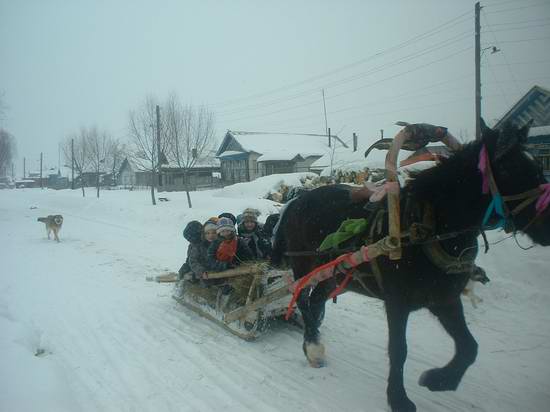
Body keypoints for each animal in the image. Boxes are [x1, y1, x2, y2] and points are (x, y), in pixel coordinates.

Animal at [272, 123, 550, 412]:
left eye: (537, 166)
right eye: (510, 169)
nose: (549, 224)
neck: (424, 228)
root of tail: (294, 202)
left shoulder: (443, 299)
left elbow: (468, 347)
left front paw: (439, 380)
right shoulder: (397, 302)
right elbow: (399, 350)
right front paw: (398, 398)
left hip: (334, 273)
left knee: (316, 301)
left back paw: (314, 342)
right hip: (304, 266)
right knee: (302, 299)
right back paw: (312, 346)